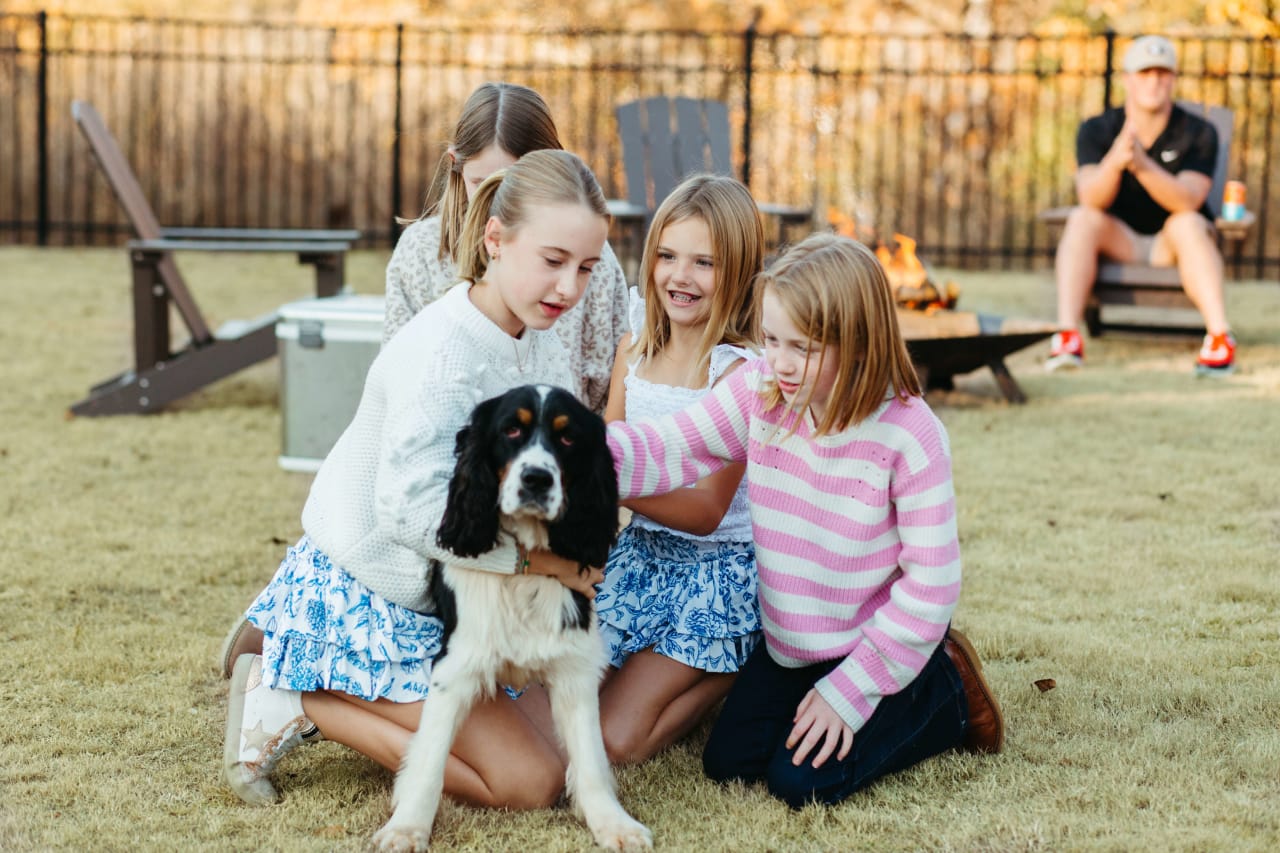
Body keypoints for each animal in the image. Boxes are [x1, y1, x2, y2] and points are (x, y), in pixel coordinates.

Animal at [371, 384, 650, 850]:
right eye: (511, 430)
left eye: (568, 437)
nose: (536, 479)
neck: (526, 576)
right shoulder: (455, 666)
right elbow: (429, 760)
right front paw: (406, 828)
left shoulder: (575, 667)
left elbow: (591, 759)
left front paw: (615, 825)